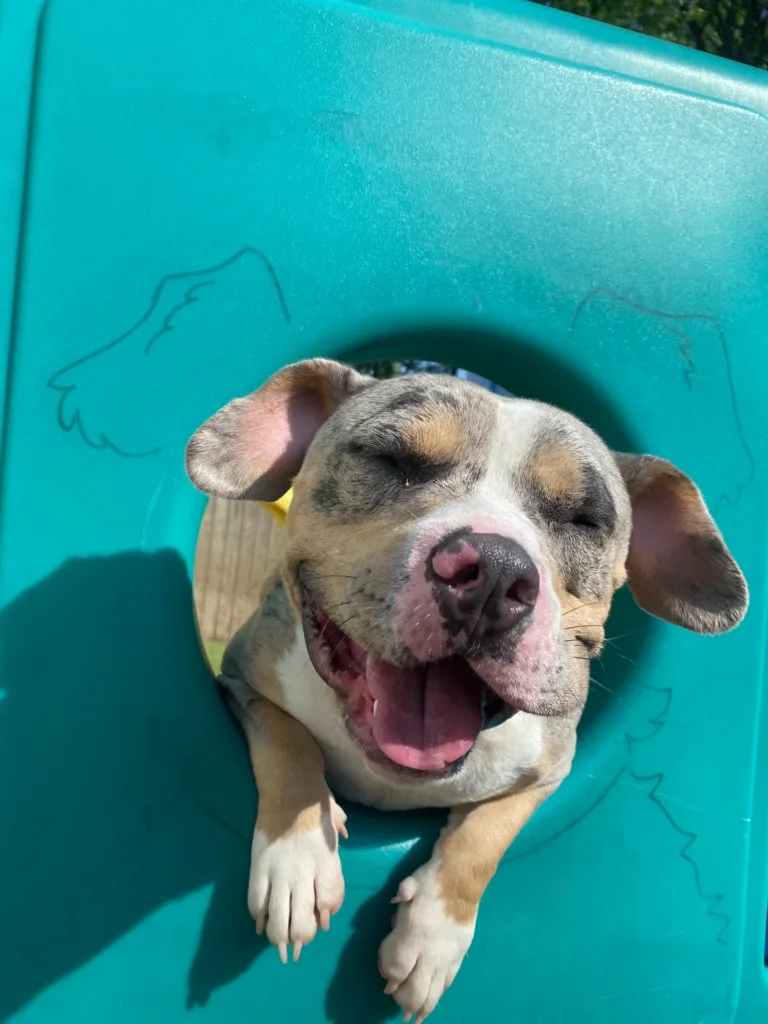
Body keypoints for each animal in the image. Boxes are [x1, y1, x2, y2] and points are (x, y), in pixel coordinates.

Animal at [185, 358, 747, 1021]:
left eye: (584, 518)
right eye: (393, 460)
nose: (496, 572)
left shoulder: (550, 768)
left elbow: (487, 835)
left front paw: (433, 937)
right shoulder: (240, 679)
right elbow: (286, 736)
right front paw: (297, 859)